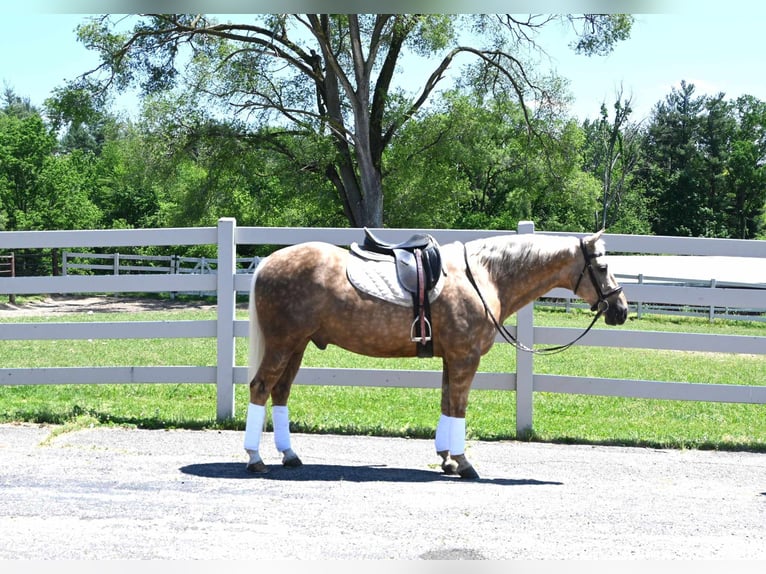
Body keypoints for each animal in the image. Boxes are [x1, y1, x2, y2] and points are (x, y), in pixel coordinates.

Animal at [246, 231, 632, 482]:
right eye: (602, 268)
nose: (621, 309)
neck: (483, 277)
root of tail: (267, 263)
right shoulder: (465, 357)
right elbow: (459, 407)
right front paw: (463, 462)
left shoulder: (452, 358)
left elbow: (446, 404)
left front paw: (447, 459)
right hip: (283, 344)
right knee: (260, 388)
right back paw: (255, 458)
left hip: (297, 345)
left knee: (280, 393)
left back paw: (289, 455)